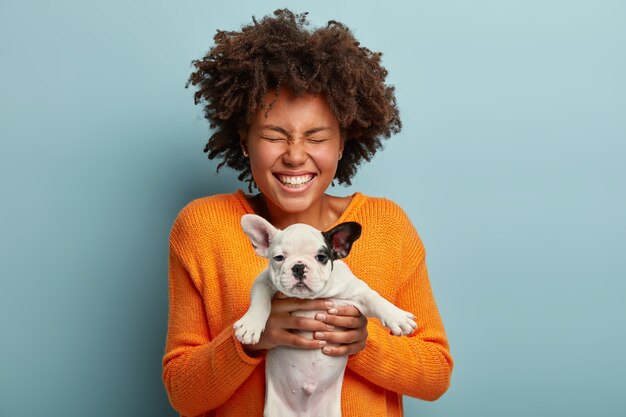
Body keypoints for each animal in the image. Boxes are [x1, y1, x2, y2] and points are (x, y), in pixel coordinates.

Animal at [233, 214, 414, 416]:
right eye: (279, 258)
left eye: (321, 257)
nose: (298, 267)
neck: (312, 297)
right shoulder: (263, 282)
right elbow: (260, 301)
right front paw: (250, 325)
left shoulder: (356, 290)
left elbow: (374, 297)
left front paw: (396, 316)